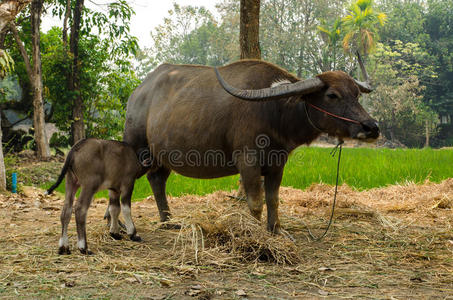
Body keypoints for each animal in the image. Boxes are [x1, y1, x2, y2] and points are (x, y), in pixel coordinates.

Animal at [117, 58, 378, 232]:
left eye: (356, 94)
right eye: (332, 95)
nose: (371, 127)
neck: (275, 110)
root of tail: (137, 94)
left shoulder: (277, 164)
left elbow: (273, 200)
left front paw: (275, 229)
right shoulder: (248, 162)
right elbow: (255, 203)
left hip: (162, 156)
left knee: (156, 180)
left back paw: (168, 221)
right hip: (136, 147)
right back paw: (121, 225)